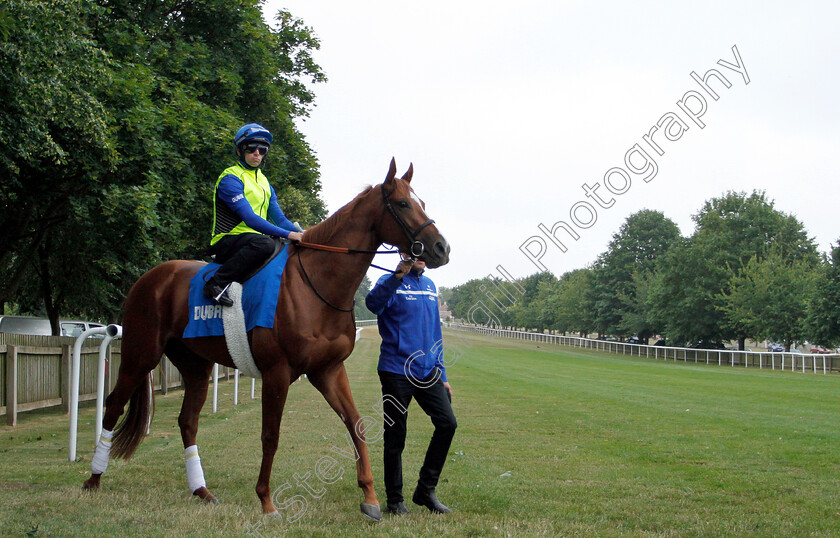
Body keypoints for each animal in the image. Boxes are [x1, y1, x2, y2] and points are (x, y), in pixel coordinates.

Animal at [84, 159, 450, 520]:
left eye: (422, 202)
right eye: (402, 204)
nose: (441, 248)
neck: (316, 284)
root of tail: (151, 277)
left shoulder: (328, 370)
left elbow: (356, 424)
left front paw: (371, 497)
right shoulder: (278, 372)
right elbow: (270, 436)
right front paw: (266, 501)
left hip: (195, 364)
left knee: (187, 421)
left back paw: (201, 490)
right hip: (141, 352)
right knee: (113, 405)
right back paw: (93, 479)